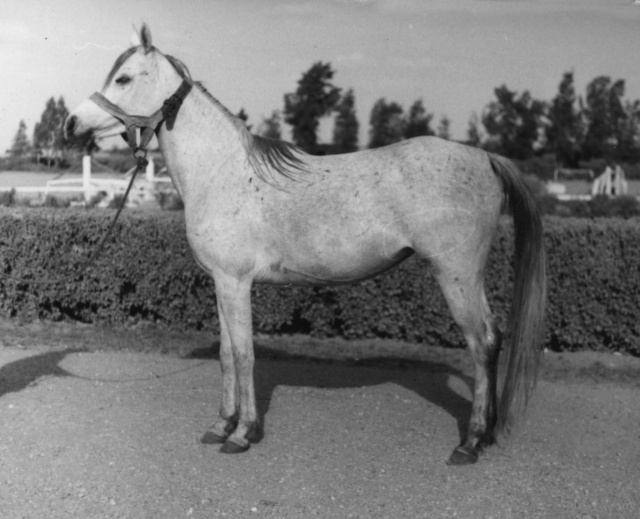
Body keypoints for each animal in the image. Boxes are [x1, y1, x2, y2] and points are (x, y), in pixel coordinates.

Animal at [65, 24, 544, 466]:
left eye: (124, 78)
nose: (70, 123)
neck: (222, 170)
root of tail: (484, 157)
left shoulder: (236, 283)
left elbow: (244, 354)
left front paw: (243, 433)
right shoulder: (221, 283)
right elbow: (225, 354)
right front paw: (220, 425)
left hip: (456, 275)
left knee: (482, 343)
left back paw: (470, 442)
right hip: (469, 277)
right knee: (494, 338)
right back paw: (487, 434)